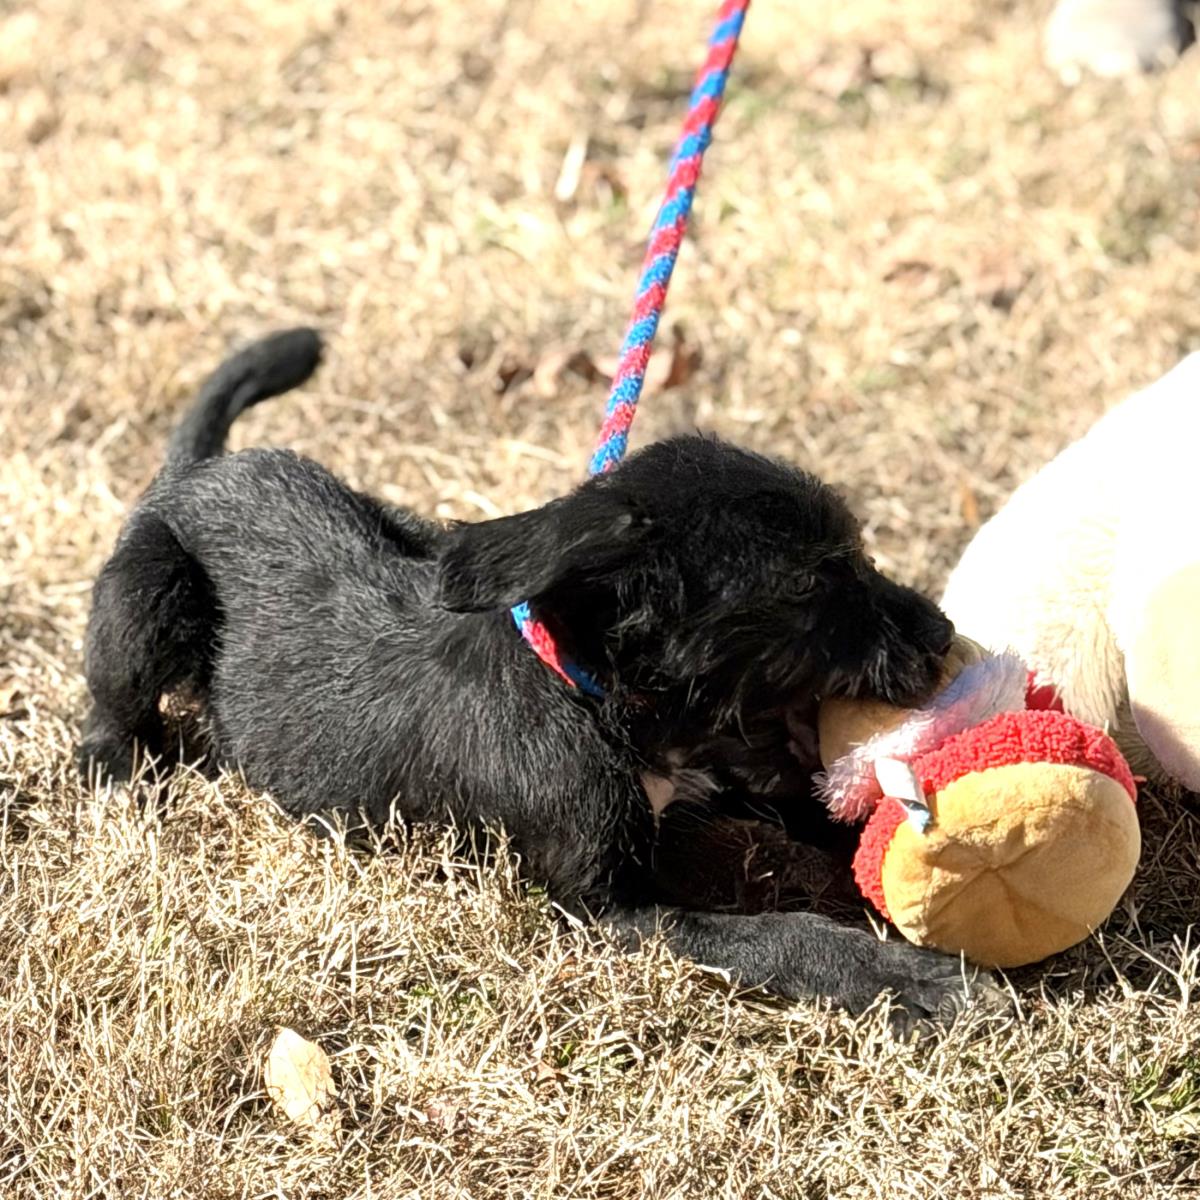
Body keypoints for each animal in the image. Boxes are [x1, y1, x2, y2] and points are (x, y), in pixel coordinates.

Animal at [79, 328, 995, 1023]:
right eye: (809, 583)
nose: (941, 637)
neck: (593, 698)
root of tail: (196, 475)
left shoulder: (731, 771)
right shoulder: (608, 907)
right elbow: (782, 932)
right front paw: (908, 979)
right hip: (145, 594)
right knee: (110, 705)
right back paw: (118, 769)